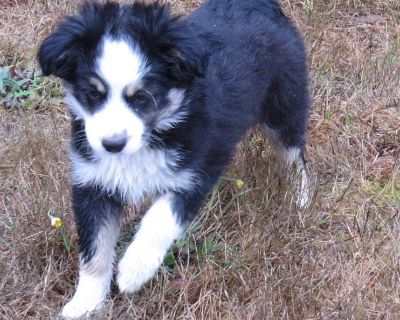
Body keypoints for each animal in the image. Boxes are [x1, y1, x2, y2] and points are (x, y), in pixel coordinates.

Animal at [38, 0, 310, 318]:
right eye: (92, 94)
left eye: (142, 97)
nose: (112, 145)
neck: (155, 133)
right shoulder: (93, 184)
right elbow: (95, 247)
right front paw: (86, 303)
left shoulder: (196, 173)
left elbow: (159, 219)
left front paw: (134, 270)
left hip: (284, 105)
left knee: (295, 155)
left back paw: (300, 197)